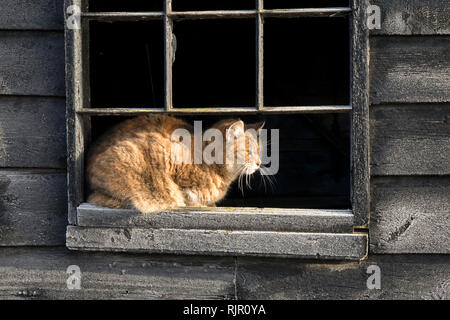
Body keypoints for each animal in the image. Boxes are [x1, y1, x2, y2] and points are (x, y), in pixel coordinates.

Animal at [85, 114, 264, 214]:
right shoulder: (172, 163)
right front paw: (196, 204)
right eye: (249, 152)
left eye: (259, 150)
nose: (259, 163)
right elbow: (182, 193)